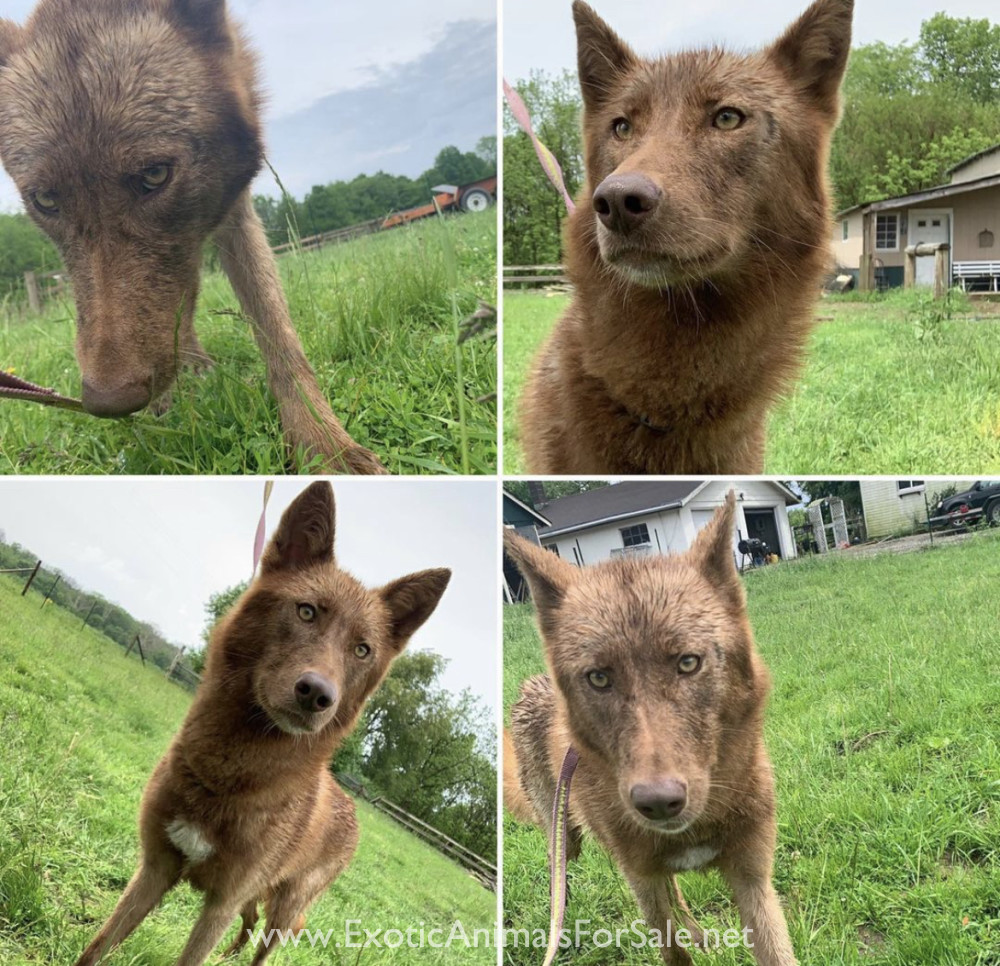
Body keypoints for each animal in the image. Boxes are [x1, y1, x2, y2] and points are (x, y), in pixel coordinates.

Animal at [0, 0, 386, 474]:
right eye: (46, 201)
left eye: (154, 175)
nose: (107, 402)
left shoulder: (236, 213)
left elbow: (277, 331)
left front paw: (324, 444)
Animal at [73, 481, 450, 966]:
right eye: (306, 612)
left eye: (362, 650)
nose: (318, 694)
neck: (227, 776)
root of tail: (352, 807)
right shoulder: (156, 870)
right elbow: (97, 947)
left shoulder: (221, 902)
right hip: (256, 897)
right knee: (249, 924)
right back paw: (227, 957)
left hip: (285, 907)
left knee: (264, 945)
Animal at [504, 493, 797, 965]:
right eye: (599, 678)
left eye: (688, 662)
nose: (658, 803)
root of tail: (530, 687)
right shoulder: (644, 886)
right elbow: (673, 949)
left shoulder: (753, 880)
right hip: (566, 843)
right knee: (560, 887)